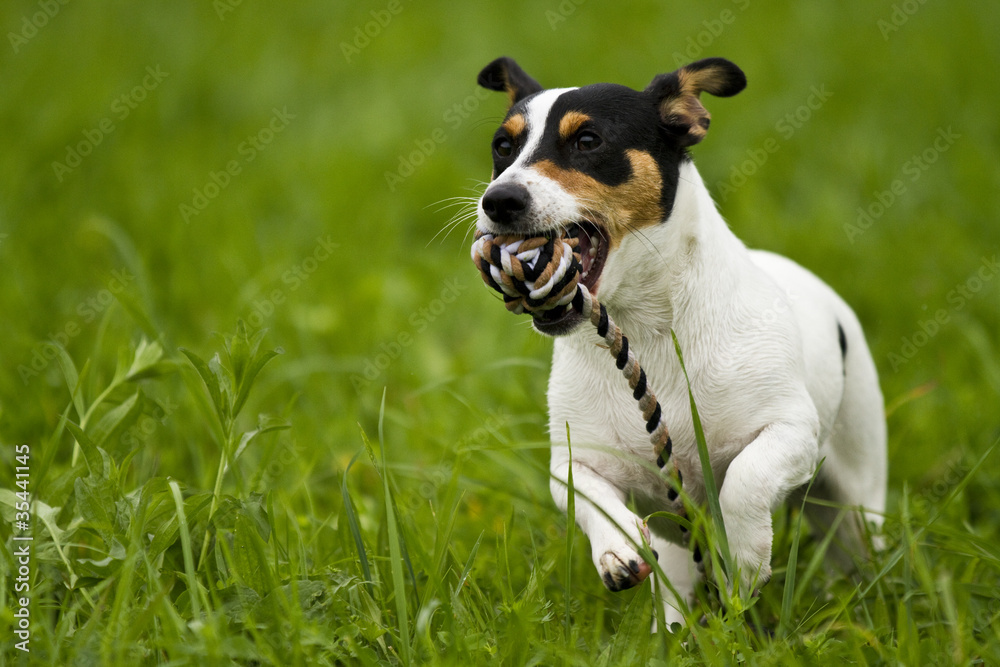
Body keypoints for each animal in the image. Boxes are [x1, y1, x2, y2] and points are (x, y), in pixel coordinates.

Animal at [472, 56, 888, 628]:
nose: (499, 200)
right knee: (676, 580)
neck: (648, 327)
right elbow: (585, 494)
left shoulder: (791, 430)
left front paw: (745, 557)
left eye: (588, 139)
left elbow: (745, 481)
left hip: (857, 488)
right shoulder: (578, 458)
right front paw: (618, 548)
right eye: (502, 146)